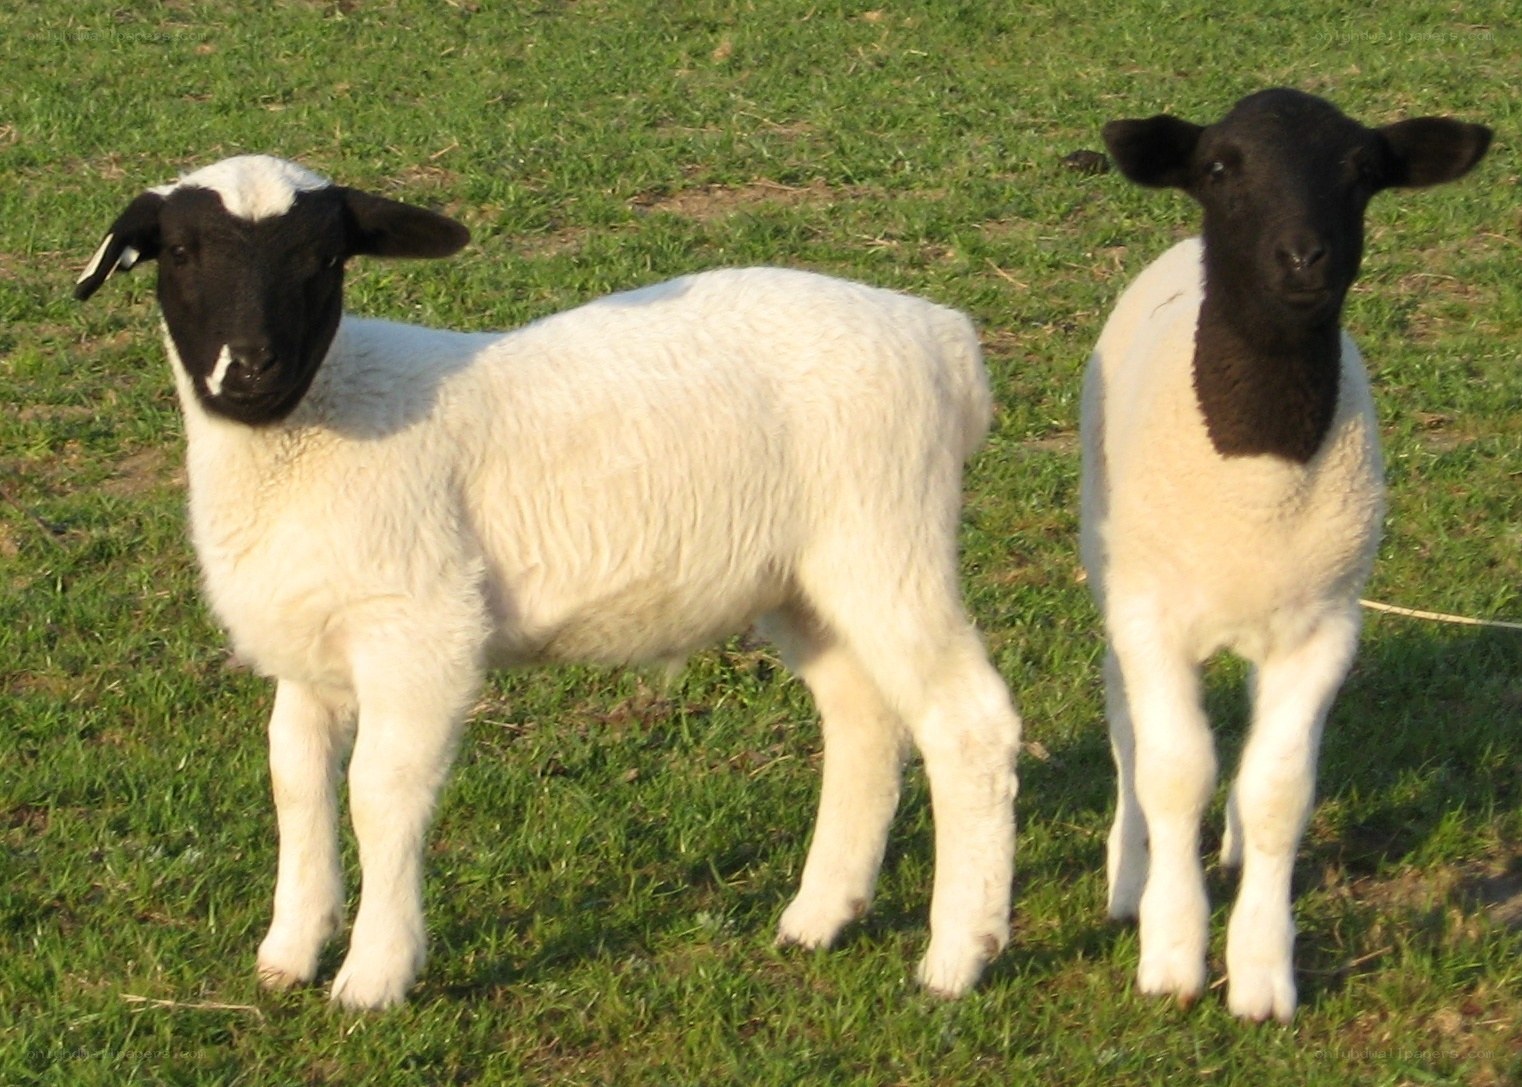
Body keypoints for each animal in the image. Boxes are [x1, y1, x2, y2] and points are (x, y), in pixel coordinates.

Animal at [74, 154, 1022, 1010]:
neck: (314, 426)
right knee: (862, 717)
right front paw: (289, 951)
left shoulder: (419, 631)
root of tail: (945, 340)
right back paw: (820, 916)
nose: (252, 369)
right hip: (808, 578)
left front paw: (373, 976)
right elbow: (294, 780)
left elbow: (379, 792)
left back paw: (956, 958)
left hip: (886, 535)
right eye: (182, 252)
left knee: (967, 722)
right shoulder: (311, 647)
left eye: (323, 257)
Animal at [1080, 89, 1491, 1022]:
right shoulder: (1152, 617)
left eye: (1363, 171)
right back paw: (1128, 873)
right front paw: (1171, 953)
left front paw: (1262, 972)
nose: (1304, 256)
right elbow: (1173, 771)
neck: (1258, 467)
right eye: (1220, 168)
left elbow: (1276, 789)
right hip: (1113, 560)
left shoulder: (1324, 627)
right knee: (1125, 723)